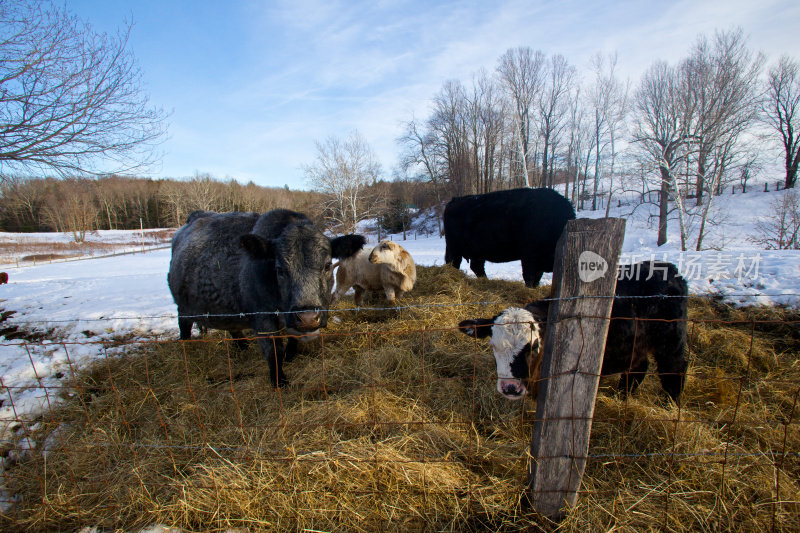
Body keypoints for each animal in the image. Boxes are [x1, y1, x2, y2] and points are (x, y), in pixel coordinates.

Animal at [172, 209, 368, 386]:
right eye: (279, 269)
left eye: (327, 265)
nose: (308, 317)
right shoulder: (262, 317)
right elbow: (273, 350)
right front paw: (278, 380)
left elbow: (293, 340)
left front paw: (289, 356)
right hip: (183, 308)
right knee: (184, 327)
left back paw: (242, 346)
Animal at [444, 187, 576, 286]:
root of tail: (454, 201)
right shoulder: (529, 257)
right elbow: (529, 277)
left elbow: (536, 279)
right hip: (455, 250)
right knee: (454, 264)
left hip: (477, 253)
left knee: (477, 267)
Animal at [460, 260, 692, 402]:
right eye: (494, 346)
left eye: (534, 346)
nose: (510, 387)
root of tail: (669, 269)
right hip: (636, 345)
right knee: (638, 368)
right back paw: (622, 396)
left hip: (671, 341)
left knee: (675, 369)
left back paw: (670, 404)